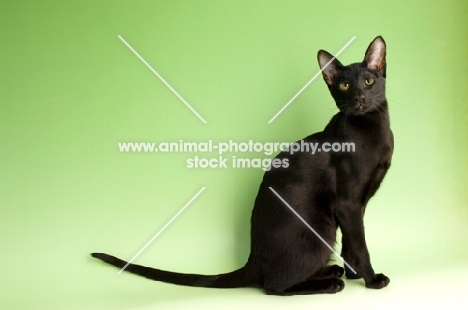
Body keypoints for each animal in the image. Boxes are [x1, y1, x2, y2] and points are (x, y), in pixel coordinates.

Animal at [91, 36, 392, 296]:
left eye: (368, 81)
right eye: (344, 87)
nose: (360, 99)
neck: (373, 131)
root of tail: (253, 259)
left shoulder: (359, 205)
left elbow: (352, 245)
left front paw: (354, 274)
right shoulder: (348, 204)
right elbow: (360, 245)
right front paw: (372, 280)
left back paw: (332, 272)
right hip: (320, 230)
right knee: (274, 286)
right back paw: (329, 283)